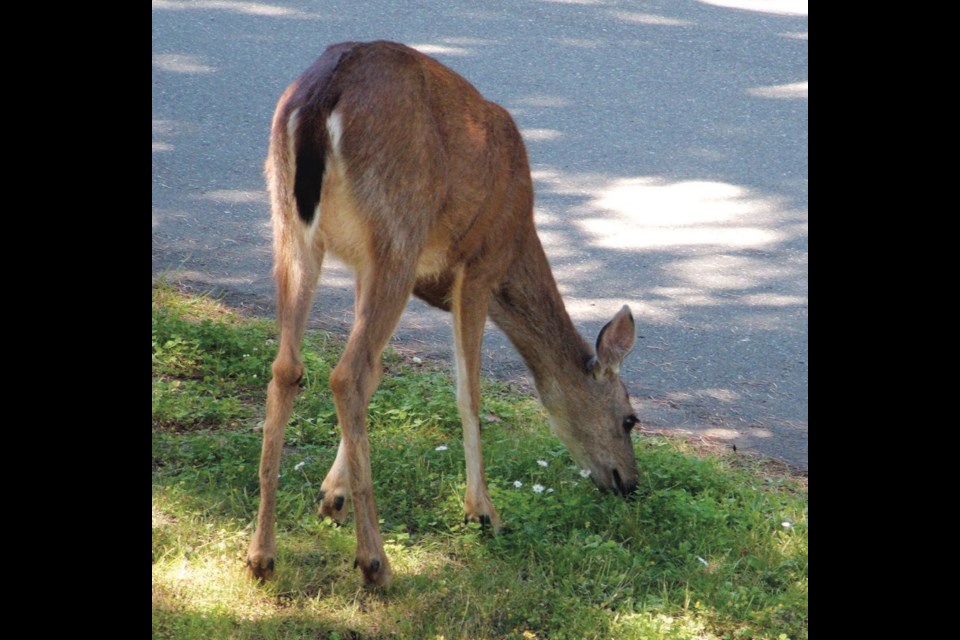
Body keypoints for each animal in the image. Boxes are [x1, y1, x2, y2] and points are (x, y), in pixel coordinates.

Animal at [244, 40, 640, 588]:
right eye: (629, 419)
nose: (630, 482)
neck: (519, 240)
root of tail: (325, 91)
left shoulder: (367, 267)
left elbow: (380, 373)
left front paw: (332, 496)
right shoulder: (477, 267)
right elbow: (468, 392)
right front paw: (483, 511)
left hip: (292, 222)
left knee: (290, 367)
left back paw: (262, 554)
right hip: (398, 230)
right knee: (345, 374)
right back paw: (374, 562)